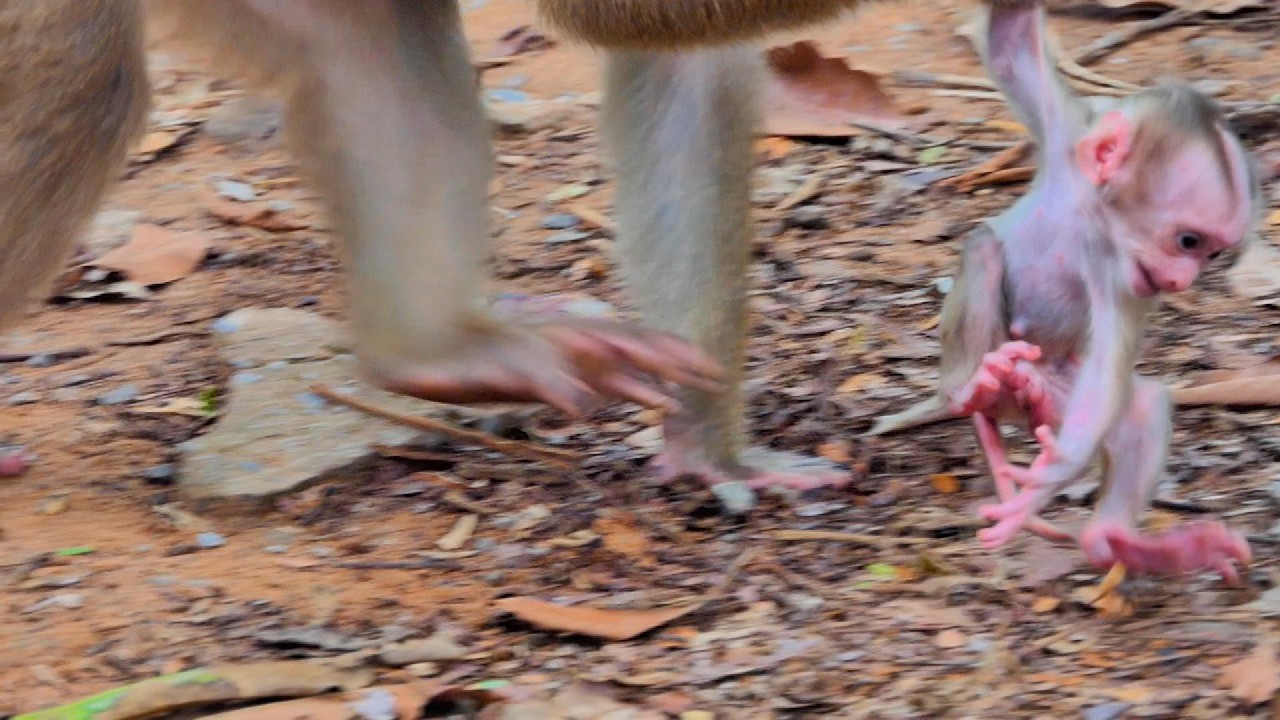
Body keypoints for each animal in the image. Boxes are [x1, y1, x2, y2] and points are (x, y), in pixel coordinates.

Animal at [869, 2, 1261, 581]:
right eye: (1189, 241)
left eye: (1210, 254)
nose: (1180, 282)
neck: (1092, 214)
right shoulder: (1063, 135)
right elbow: (1009, 49)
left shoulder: (1121, 276)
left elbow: (1109, 372)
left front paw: (1052, 478)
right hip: (1004, 363)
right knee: (984, 250)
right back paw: (971, 390)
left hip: (1053, 395)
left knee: (1138, 408)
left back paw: (1117, 542)